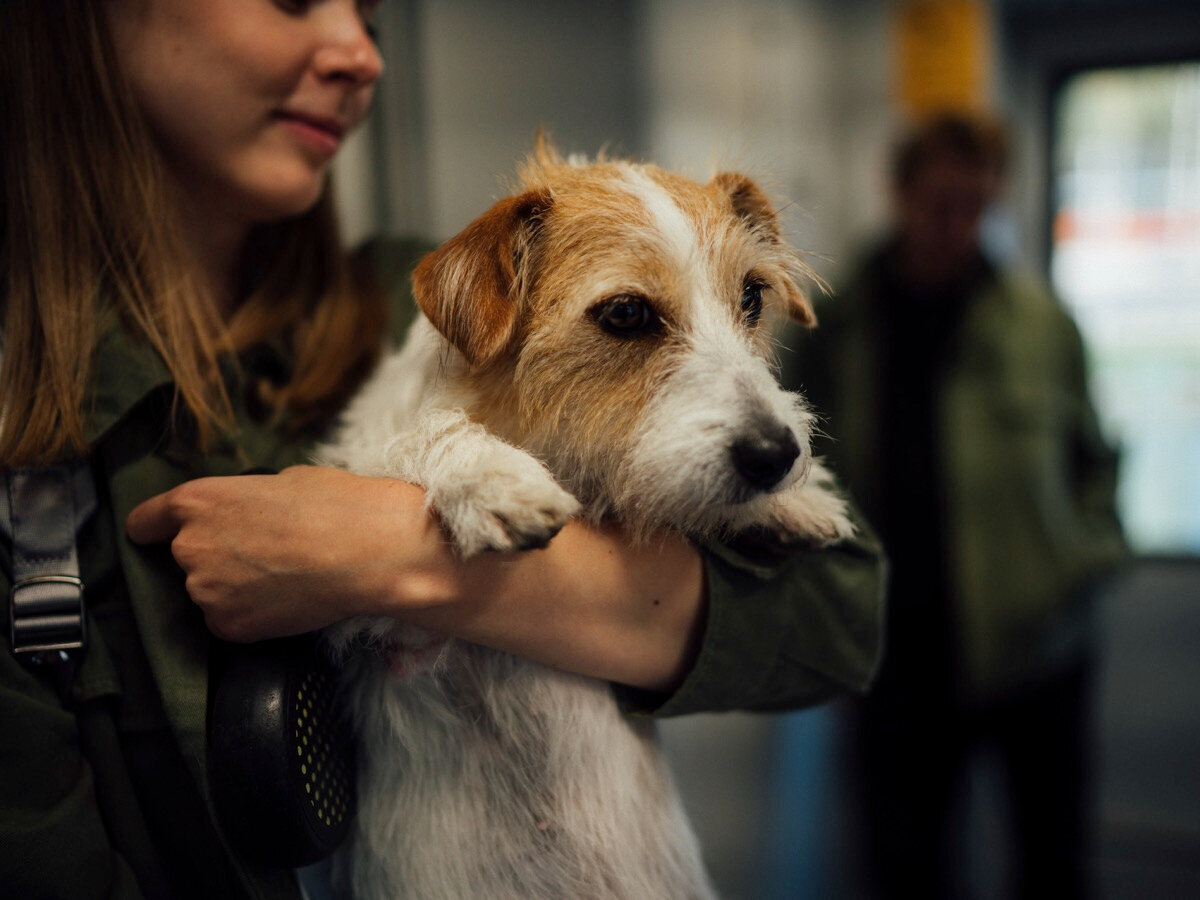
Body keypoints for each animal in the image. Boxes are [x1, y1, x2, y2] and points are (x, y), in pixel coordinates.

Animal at [319, 142, 854, 900]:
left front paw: (791, 504)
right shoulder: (371, 628)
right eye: (627, 313)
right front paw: (492, 476)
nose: (776, 456)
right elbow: (411, 438)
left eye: (752, 296)